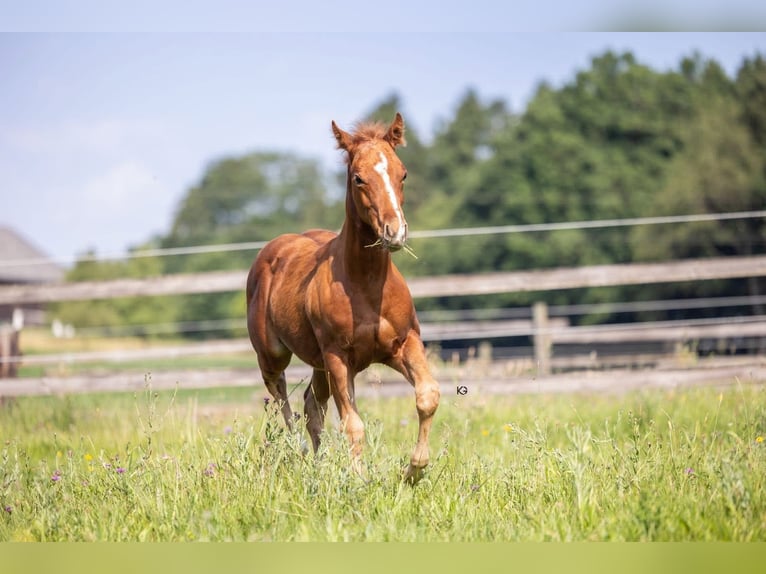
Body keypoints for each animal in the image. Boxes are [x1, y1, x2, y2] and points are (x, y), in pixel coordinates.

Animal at [246, 113, 440, 482]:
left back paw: (320, 466)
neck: (367, 285)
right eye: (358, 178)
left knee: (312, 406)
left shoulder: (404, 343)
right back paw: (301, 453)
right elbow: (353, 425)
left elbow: (427, 396)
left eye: (403, 172)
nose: (395, 232)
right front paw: (360, 480)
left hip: (318, 361)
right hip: (274, 356)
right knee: (284, 403)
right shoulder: (338, 357)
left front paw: (414, 471)